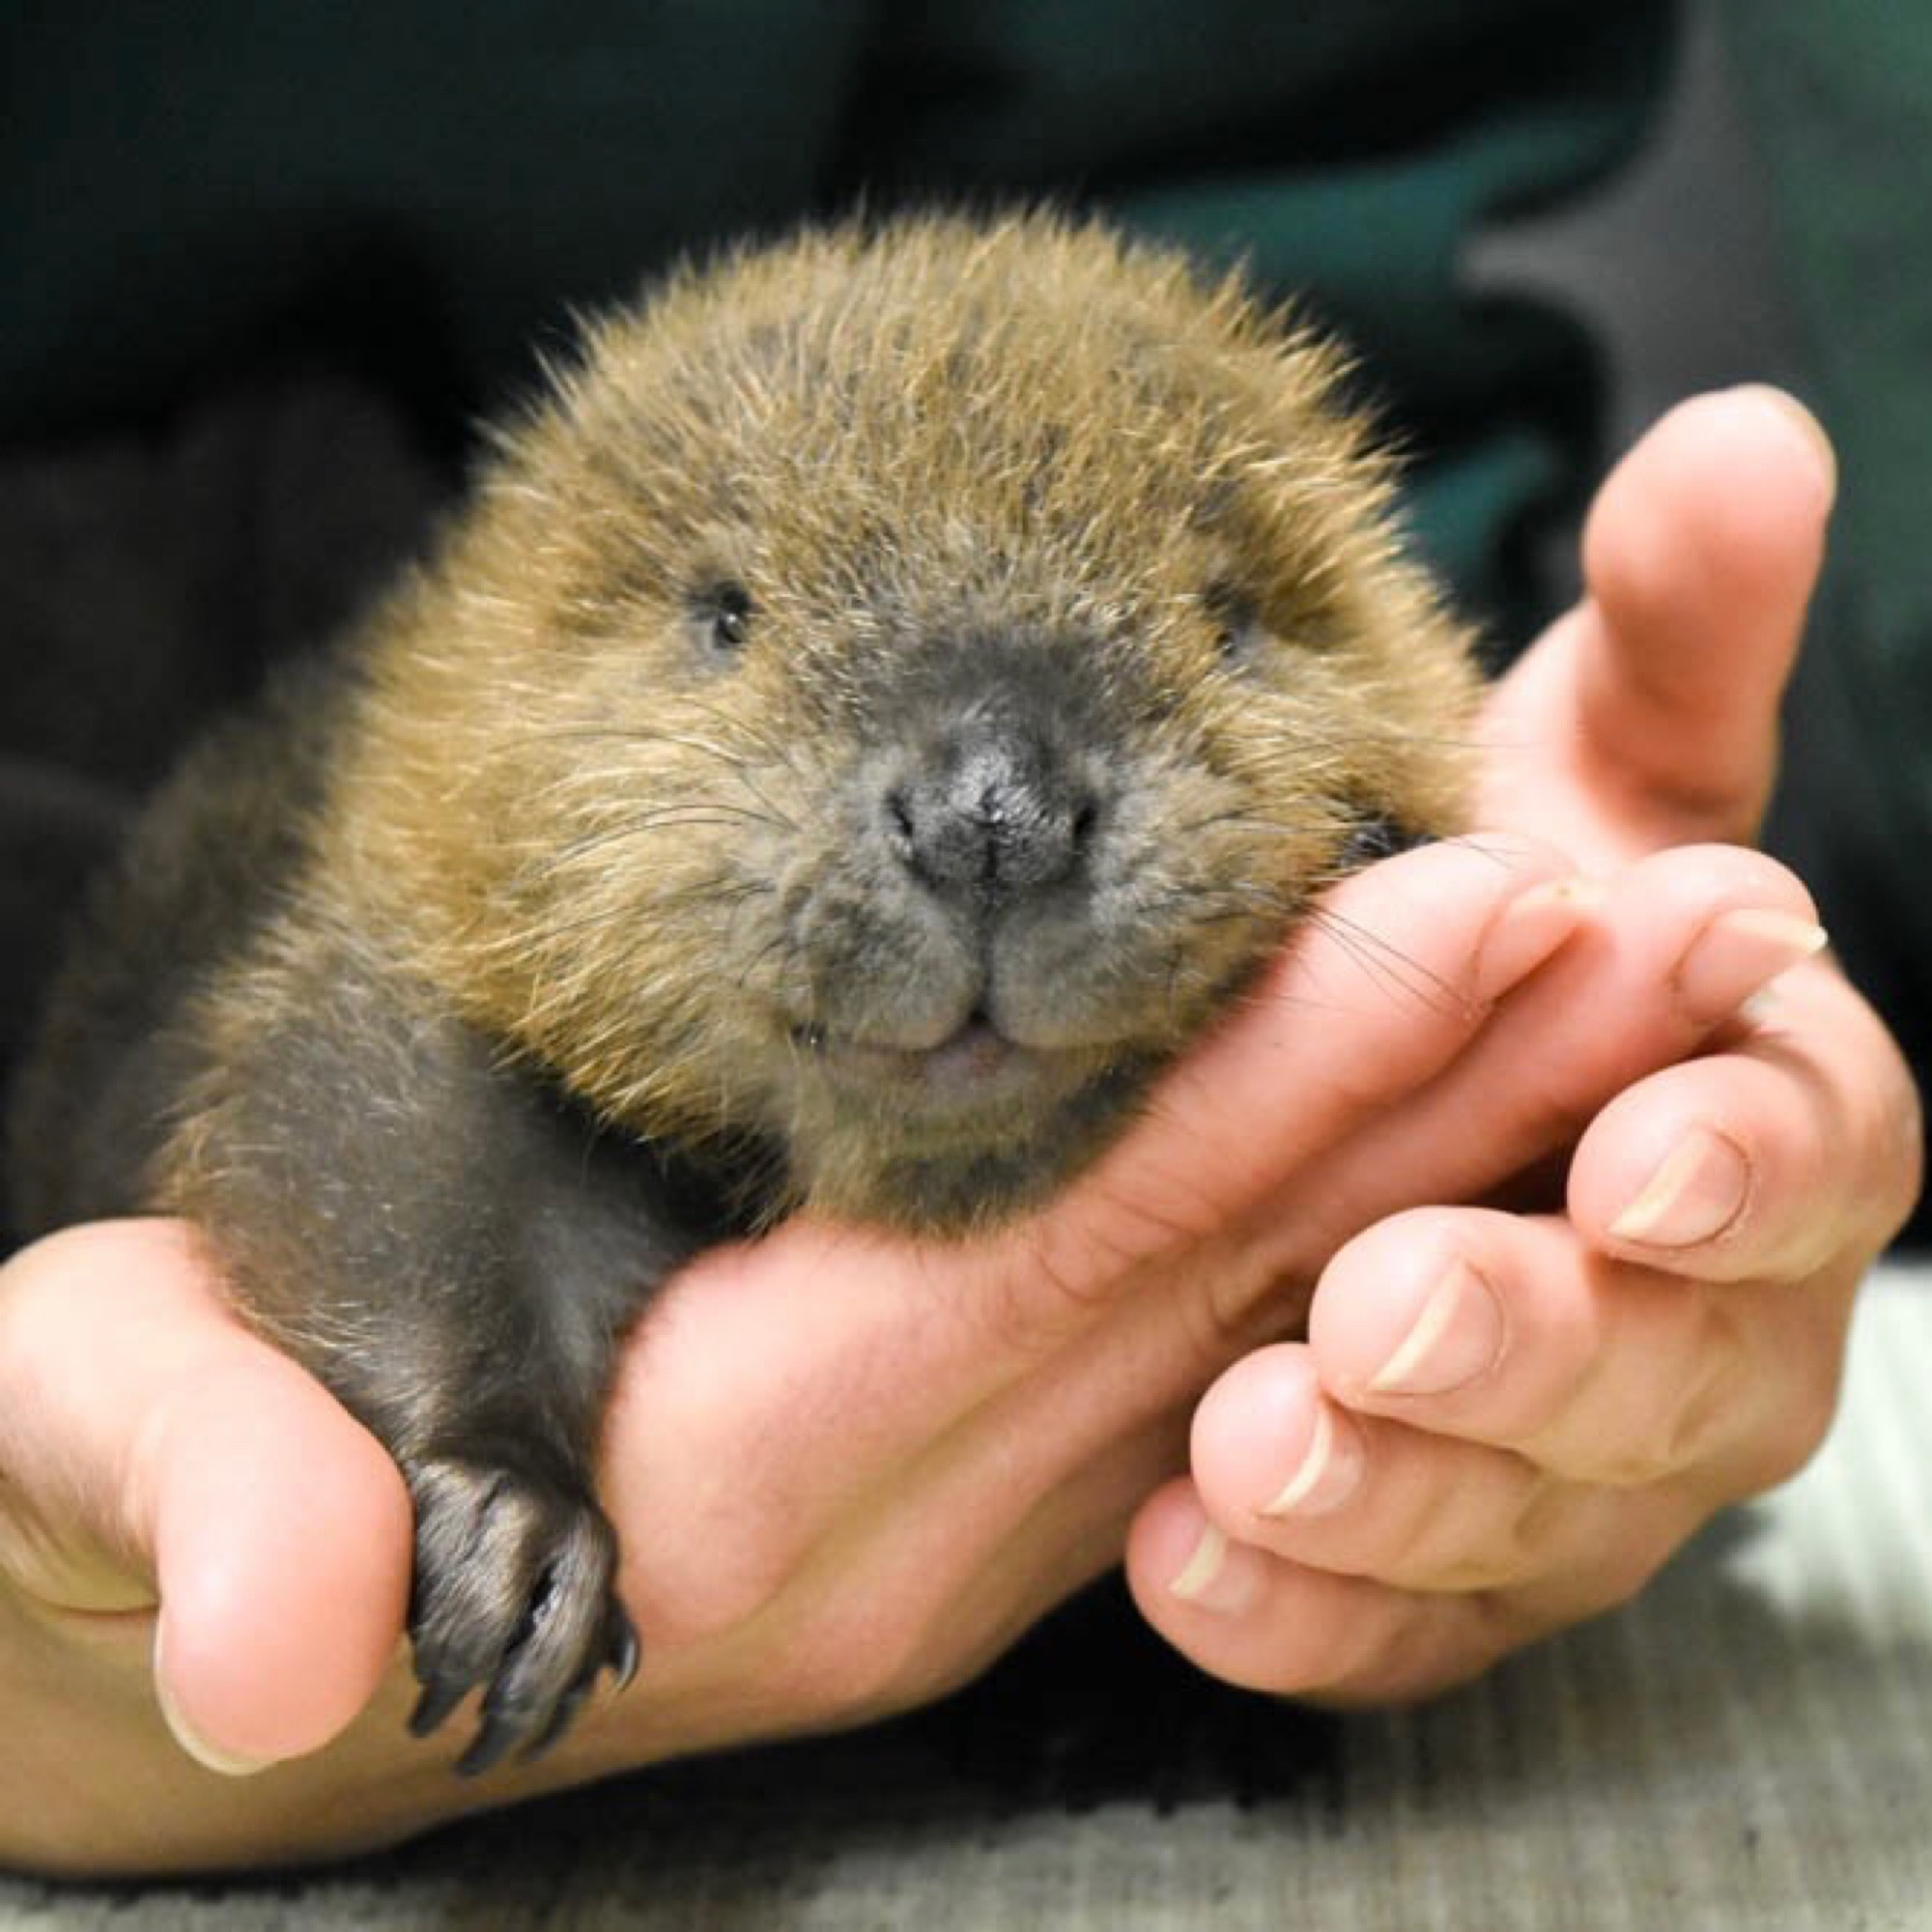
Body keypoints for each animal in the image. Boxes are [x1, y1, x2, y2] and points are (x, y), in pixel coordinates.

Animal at [3, 212, 1476, 1770]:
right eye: (725, 611)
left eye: (1229, 613)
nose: (992, 815)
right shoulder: (393, 922)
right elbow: (366, 1140)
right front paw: (516, 1544)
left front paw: (1373, 833)